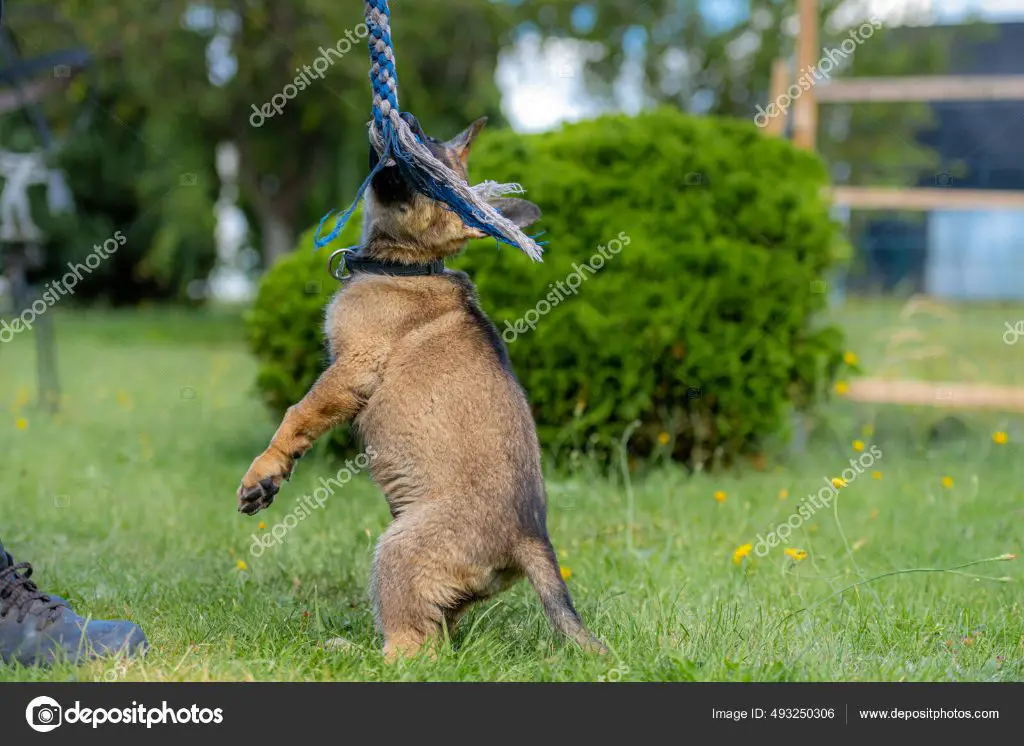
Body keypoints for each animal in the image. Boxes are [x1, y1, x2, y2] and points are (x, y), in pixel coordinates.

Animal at [237, 113, 606, 654]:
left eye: (431, 159)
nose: (404, 118)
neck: (407, 265)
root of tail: (529, 537)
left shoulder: (352, 367)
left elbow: (297, 415)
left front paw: (264, 474)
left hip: (398, 550)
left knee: (413, 652)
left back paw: (353, 655)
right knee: (438, 639)